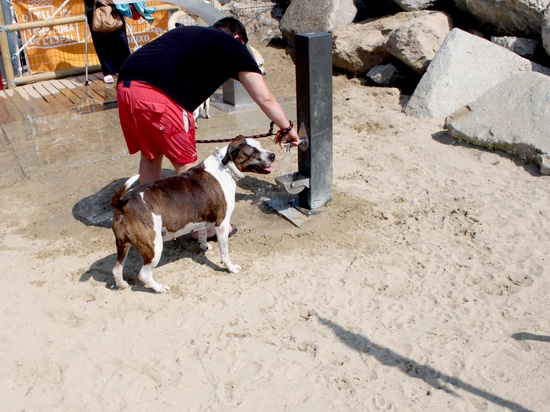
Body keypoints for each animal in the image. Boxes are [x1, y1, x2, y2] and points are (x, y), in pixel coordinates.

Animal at [111, 136, 276, 292]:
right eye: (253, 153)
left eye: (260, 146)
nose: (273, 155)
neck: (225, 167)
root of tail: (123, 203)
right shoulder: (222, 224)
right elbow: (225, 253)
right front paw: (230, 268)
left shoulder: (202, 218)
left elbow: (202, 233)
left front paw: (204, 246)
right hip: (154, 246)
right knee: (144, 274)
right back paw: (159, 288)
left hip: (123, 245)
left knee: (116, 269)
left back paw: (122, 285)